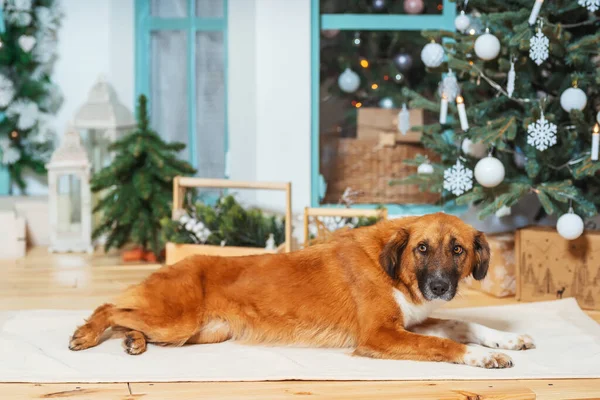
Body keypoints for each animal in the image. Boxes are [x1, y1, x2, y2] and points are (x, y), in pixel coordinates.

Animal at [70, 214, 536, 368]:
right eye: (422, 248)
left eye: (457, 250)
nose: (439, 287)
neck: (391, 268)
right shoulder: (380, 335)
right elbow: (447, 345)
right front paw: (484, 357)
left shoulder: (412, 323)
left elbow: (462, 325)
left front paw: (506, 339)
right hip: (177, 320)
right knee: (109, 305)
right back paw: (88, 333)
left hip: (201, 332)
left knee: (128, 317)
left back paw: (132, 340)